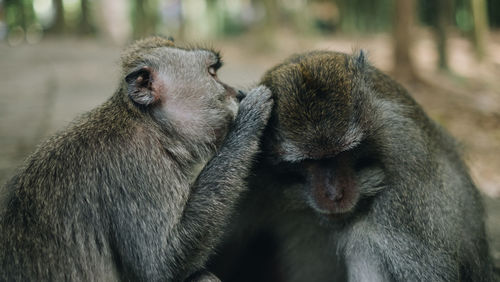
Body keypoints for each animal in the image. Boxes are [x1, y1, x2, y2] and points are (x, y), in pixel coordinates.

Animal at [0, 37, 274, 282]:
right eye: (212, 73)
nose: (239, 93)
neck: (151, 125)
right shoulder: (137, 167)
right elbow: (162, 265)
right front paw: (249, 118)